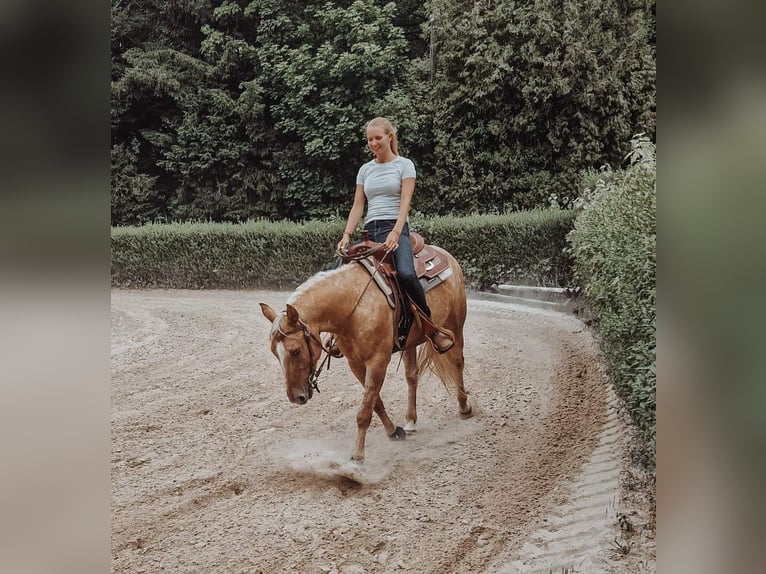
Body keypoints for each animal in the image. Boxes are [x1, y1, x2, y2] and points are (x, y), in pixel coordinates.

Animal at [260, 245, 474, 466]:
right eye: (274, 353)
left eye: (295, 351)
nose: (296, 397)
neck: (353, 307)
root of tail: (445, 254)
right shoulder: (355, 363)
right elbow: (375, 402)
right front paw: (393, 431)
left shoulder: (378, 362)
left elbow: (365, 410)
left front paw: (357, 456)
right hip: (410, 342)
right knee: (411, 376)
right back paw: (410, 421)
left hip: (455, 325)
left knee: (458, 363)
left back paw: (464, 407)